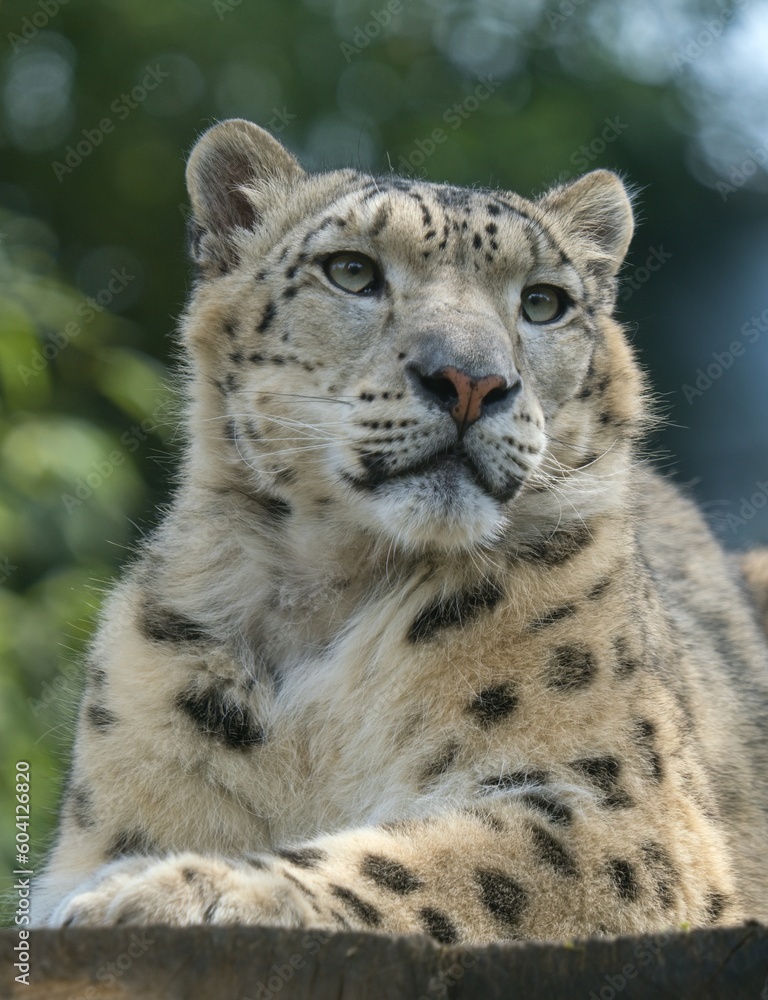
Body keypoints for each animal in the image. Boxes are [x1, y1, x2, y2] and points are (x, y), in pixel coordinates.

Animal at [32, 118, 768, 943]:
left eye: (543, 302)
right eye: (352, 271)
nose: (472, 381)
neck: (332, 590)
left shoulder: (629, 812)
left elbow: (440, 863)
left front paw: (171, 888)